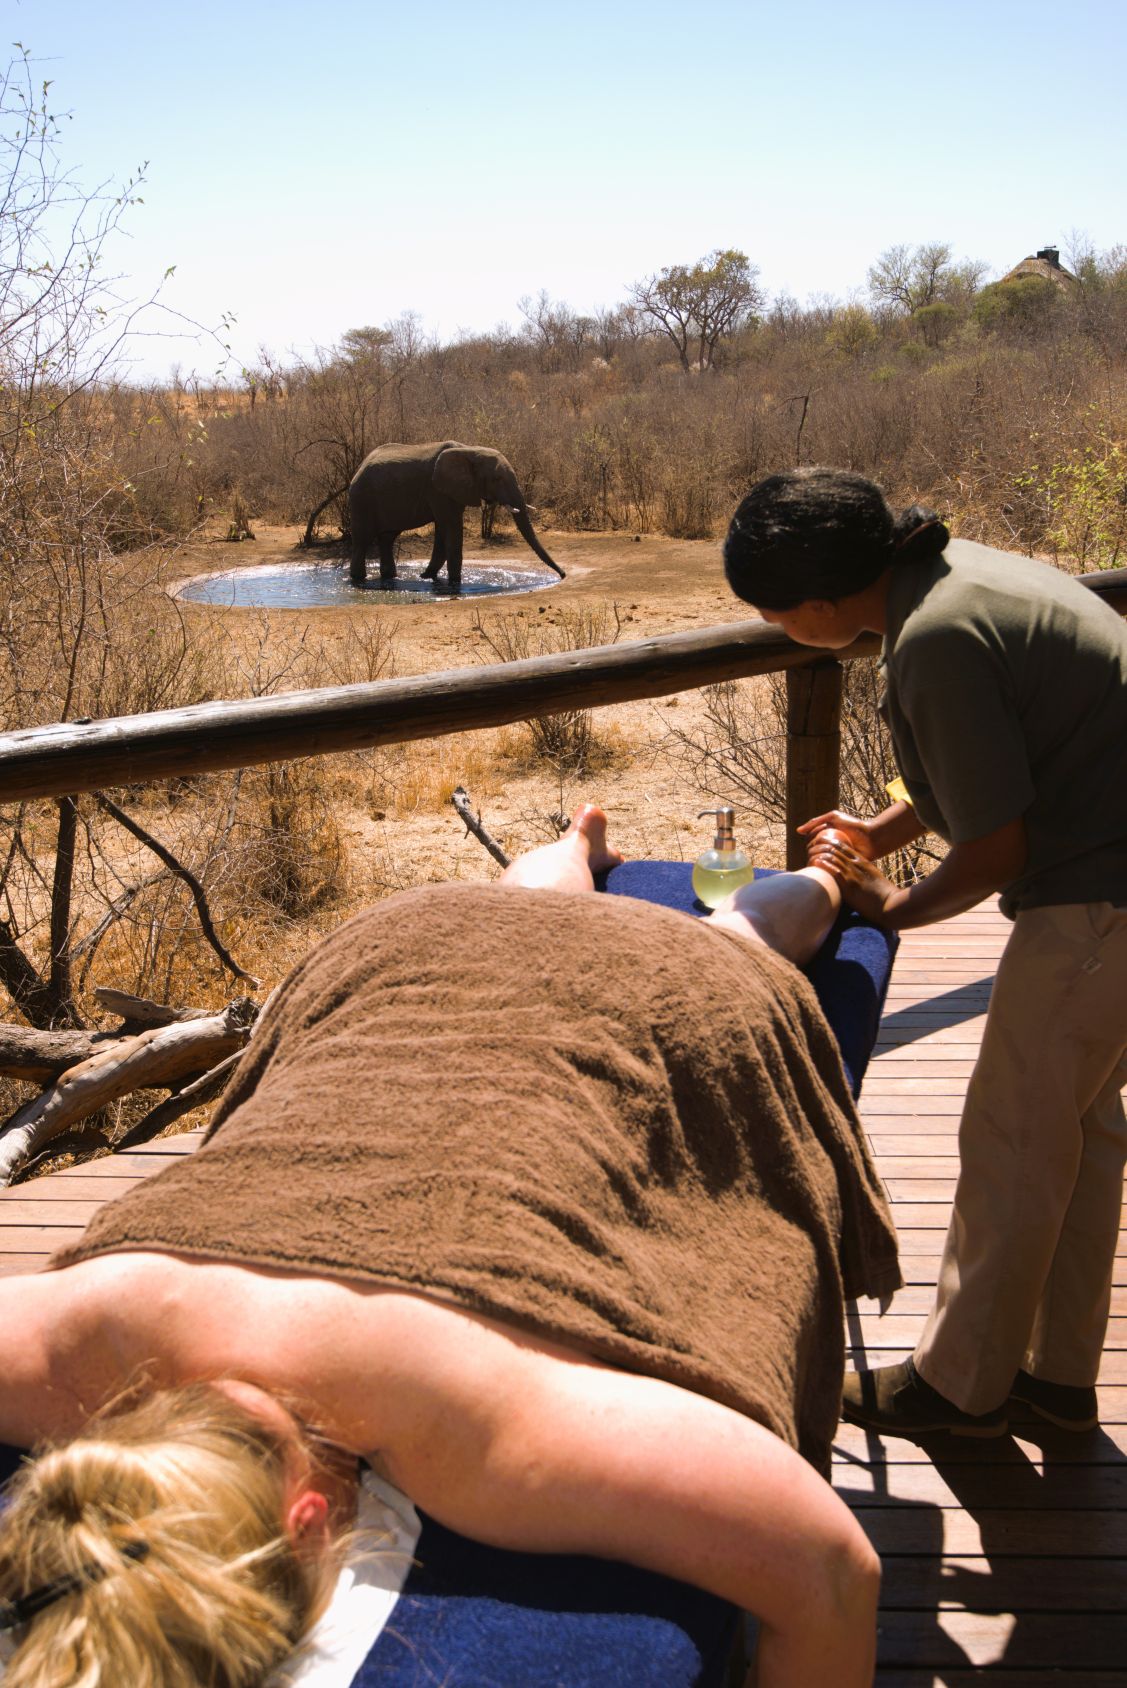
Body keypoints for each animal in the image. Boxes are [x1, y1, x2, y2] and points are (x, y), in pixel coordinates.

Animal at [347, 441, 565, 592]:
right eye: (496, 479)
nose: (563, 575)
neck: (469, 450)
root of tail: (360, 467)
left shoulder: (453, 491)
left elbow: (442, 532)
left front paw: (427, 576)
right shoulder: (438, 489)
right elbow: (450, 527)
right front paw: (454, 583)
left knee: (388, 538)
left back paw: (390, 577)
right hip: (362, 500)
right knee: (363, 539)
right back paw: (359, 579)